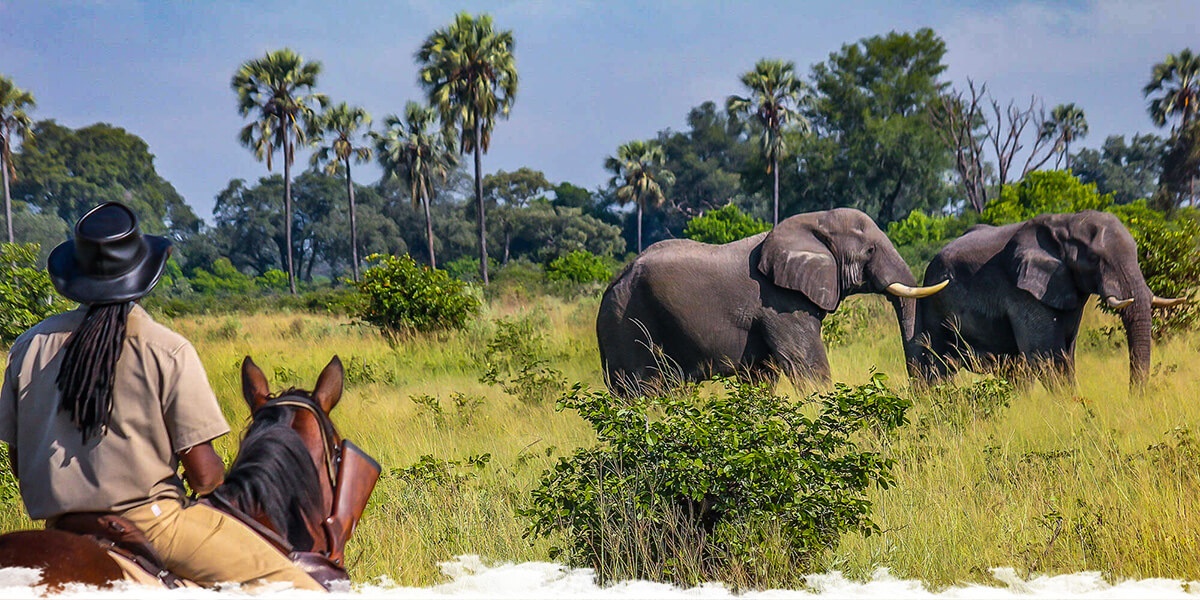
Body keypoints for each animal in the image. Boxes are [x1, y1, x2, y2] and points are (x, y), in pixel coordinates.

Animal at [597, 207, 945, 398]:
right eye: (870, 251)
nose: (921, 392)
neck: (812, 223)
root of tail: (613, 282)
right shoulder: (780, 303)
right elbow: (806, 365)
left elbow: (762, 375)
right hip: (627, 322)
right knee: (643, 390)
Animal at [907, 211, 1180, 386]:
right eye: (1094, 259)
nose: (1134, 396)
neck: (1066, 223)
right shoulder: (1022, 292)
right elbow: (1046, 356)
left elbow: (1067, 355)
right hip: (934, 302)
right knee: (936, 366)